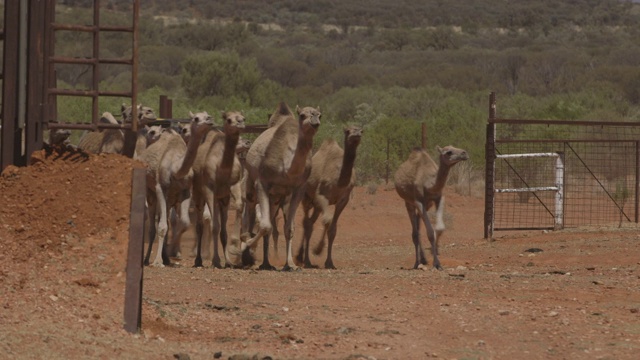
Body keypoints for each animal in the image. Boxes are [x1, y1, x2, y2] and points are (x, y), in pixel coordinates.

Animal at [139, 112, 214, 268]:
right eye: (196, 118)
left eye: (207, 115)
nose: (210, 120)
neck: (176, 168)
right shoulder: (160, 188)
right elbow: (162, 227)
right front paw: (158, 261)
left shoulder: (186, 192)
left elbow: (184, 222)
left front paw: (171, 252)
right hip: (151, 192)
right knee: (152, 226)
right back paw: (147, 258)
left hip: (170, 198)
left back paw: (166, 257)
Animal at [189, 112, 246, 268]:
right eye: (229, 119)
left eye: (243, 118)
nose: (241, 123)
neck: (222, 168)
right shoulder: (209, 189)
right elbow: (215, 226)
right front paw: (216, 260)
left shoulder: (233, 185)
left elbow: (238, 207)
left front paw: (231, 256)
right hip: (199, 193)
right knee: (200, 225)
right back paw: (198, 260)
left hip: (222, 199)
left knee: (220, 227)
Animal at [240, 101, 320, 270]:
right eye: (302, 115)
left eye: (319, 114)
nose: (315, 122)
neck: (287, 167)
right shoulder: (262, 182)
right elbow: (264, 225)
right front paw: (249, 243)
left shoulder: (298, 189)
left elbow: (288, 228)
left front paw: (291, 265)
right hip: (250, 186)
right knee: (247, 215)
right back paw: (245, 248)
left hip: (275, 198)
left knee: (268, 221)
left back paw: (266, 263)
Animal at [298, 125, 362, 268]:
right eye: (347, 131)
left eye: (361, 131)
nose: (356, 134)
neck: (339, 181)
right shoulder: (322, 196)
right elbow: (327, 220)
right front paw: (317, 249)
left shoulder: (343, 200)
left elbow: (333, 228)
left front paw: (329, 262)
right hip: (306, 198)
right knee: (306, 222)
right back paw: (303, 259)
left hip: (316, 206)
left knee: (310, 222)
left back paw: (303, 258)